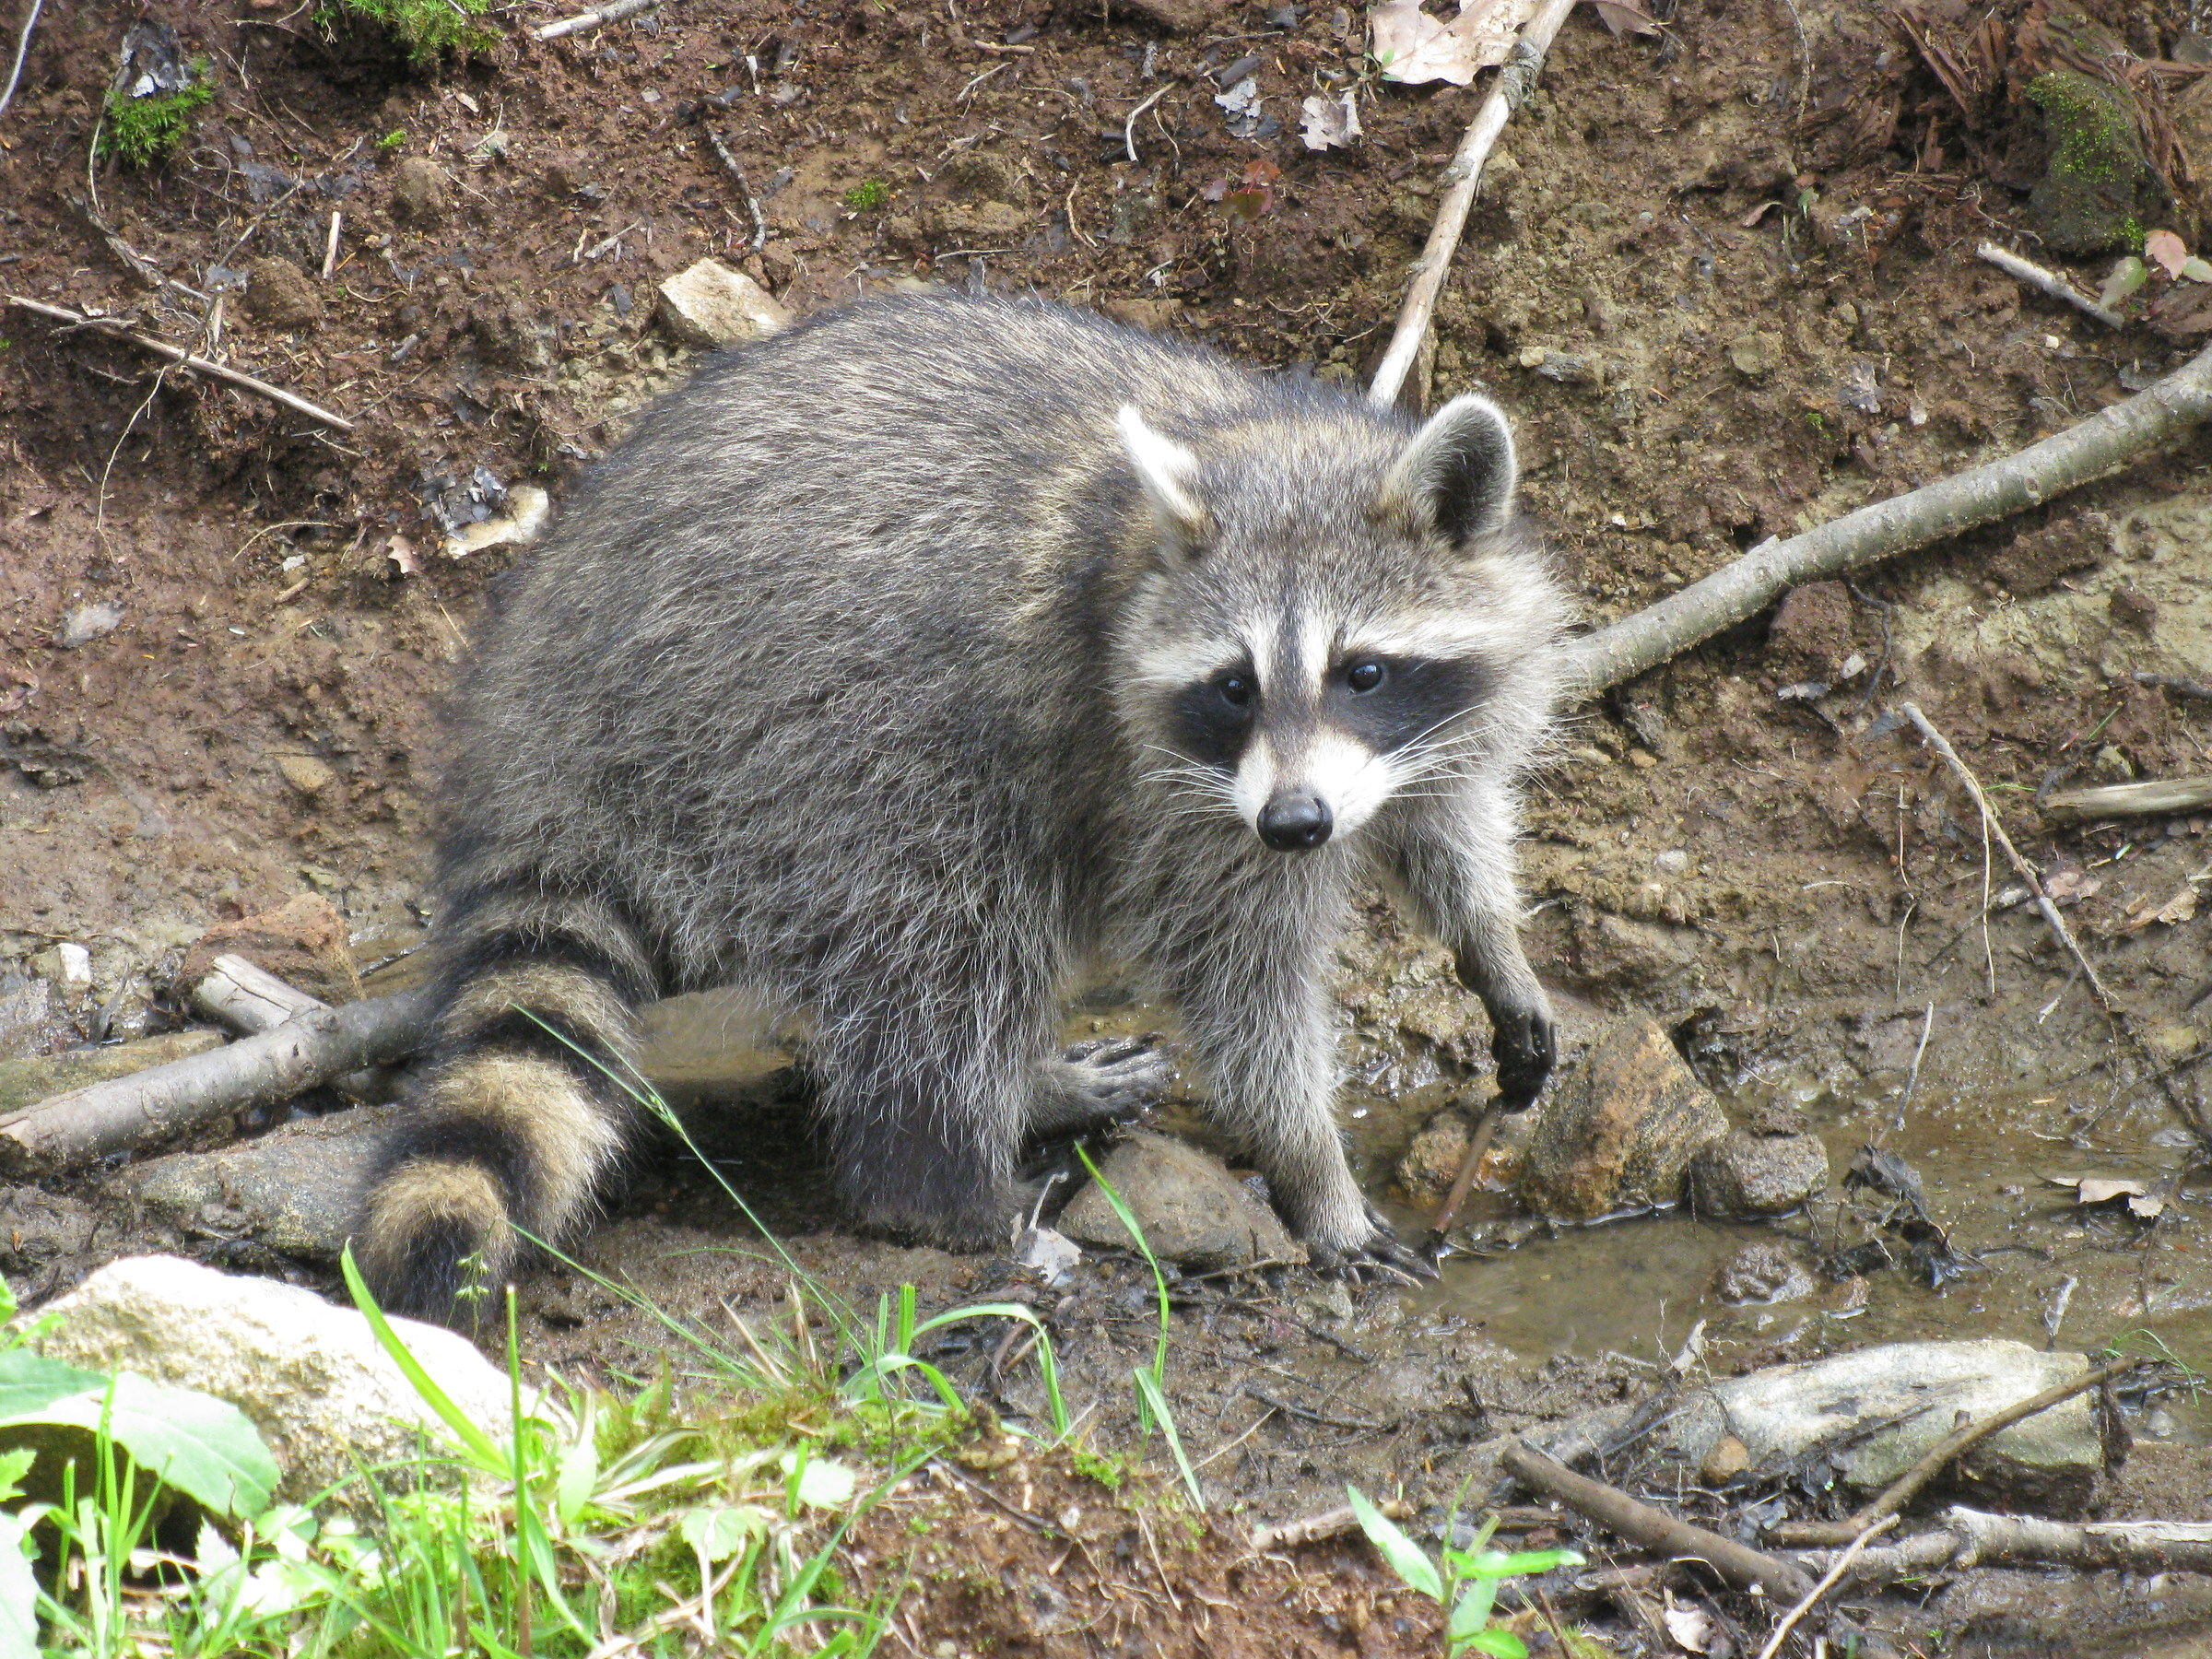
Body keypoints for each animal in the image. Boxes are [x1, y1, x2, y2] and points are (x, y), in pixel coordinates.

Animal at [360, 291, 1571, 1325]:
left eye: (1361, 672)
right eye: (1234, 686)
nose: (1295, 827)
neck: (1264, 434)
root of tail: (541, 692)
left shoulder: (1437, 717)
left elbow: (1451, 824)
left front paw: (1495, 948)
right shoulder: (1166, 781)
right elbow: (1241, 983)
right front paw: (1313, 1172)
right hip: (801, 731)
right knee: (945, 938)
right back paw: (949, 1185)